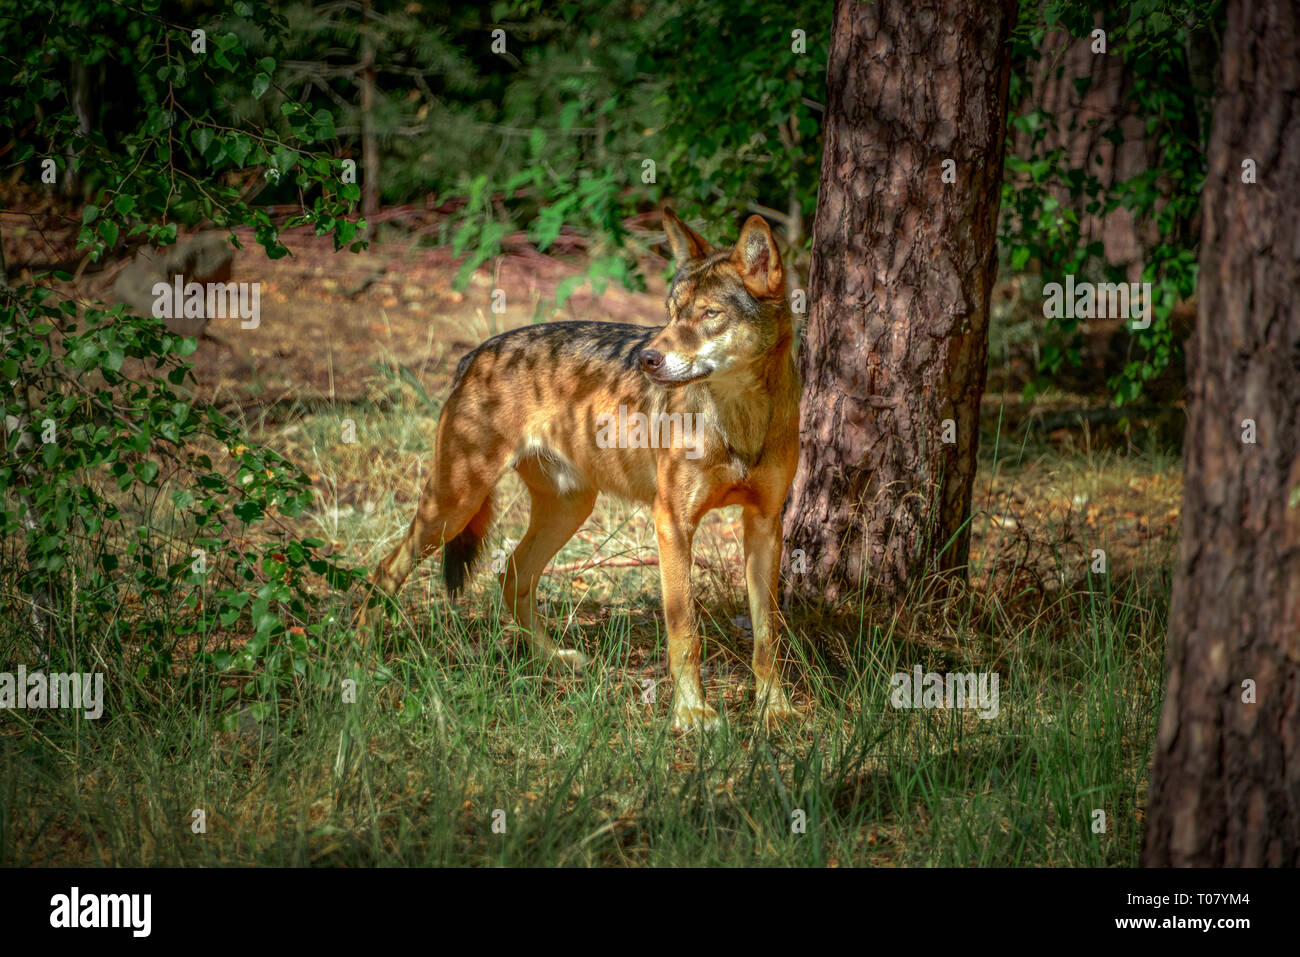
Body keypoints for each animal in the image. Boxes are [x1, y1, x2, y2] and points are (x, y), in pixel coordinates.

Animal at [366, 209, 801, 730]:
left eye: (709, 314)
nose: (646, 358)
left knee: (511, 576)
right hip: (453, 506)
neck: (740, 420)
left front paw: (775, 709)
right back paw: (358, 656)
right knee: (383, 572)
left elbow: (767, 637)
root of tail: (474, 354)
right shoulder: (672, 523)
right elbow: (685, 633)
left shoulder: (765, 525)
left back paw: (553, 660)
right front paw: (691, 715)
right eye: (671, 312)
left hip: (567, 510)